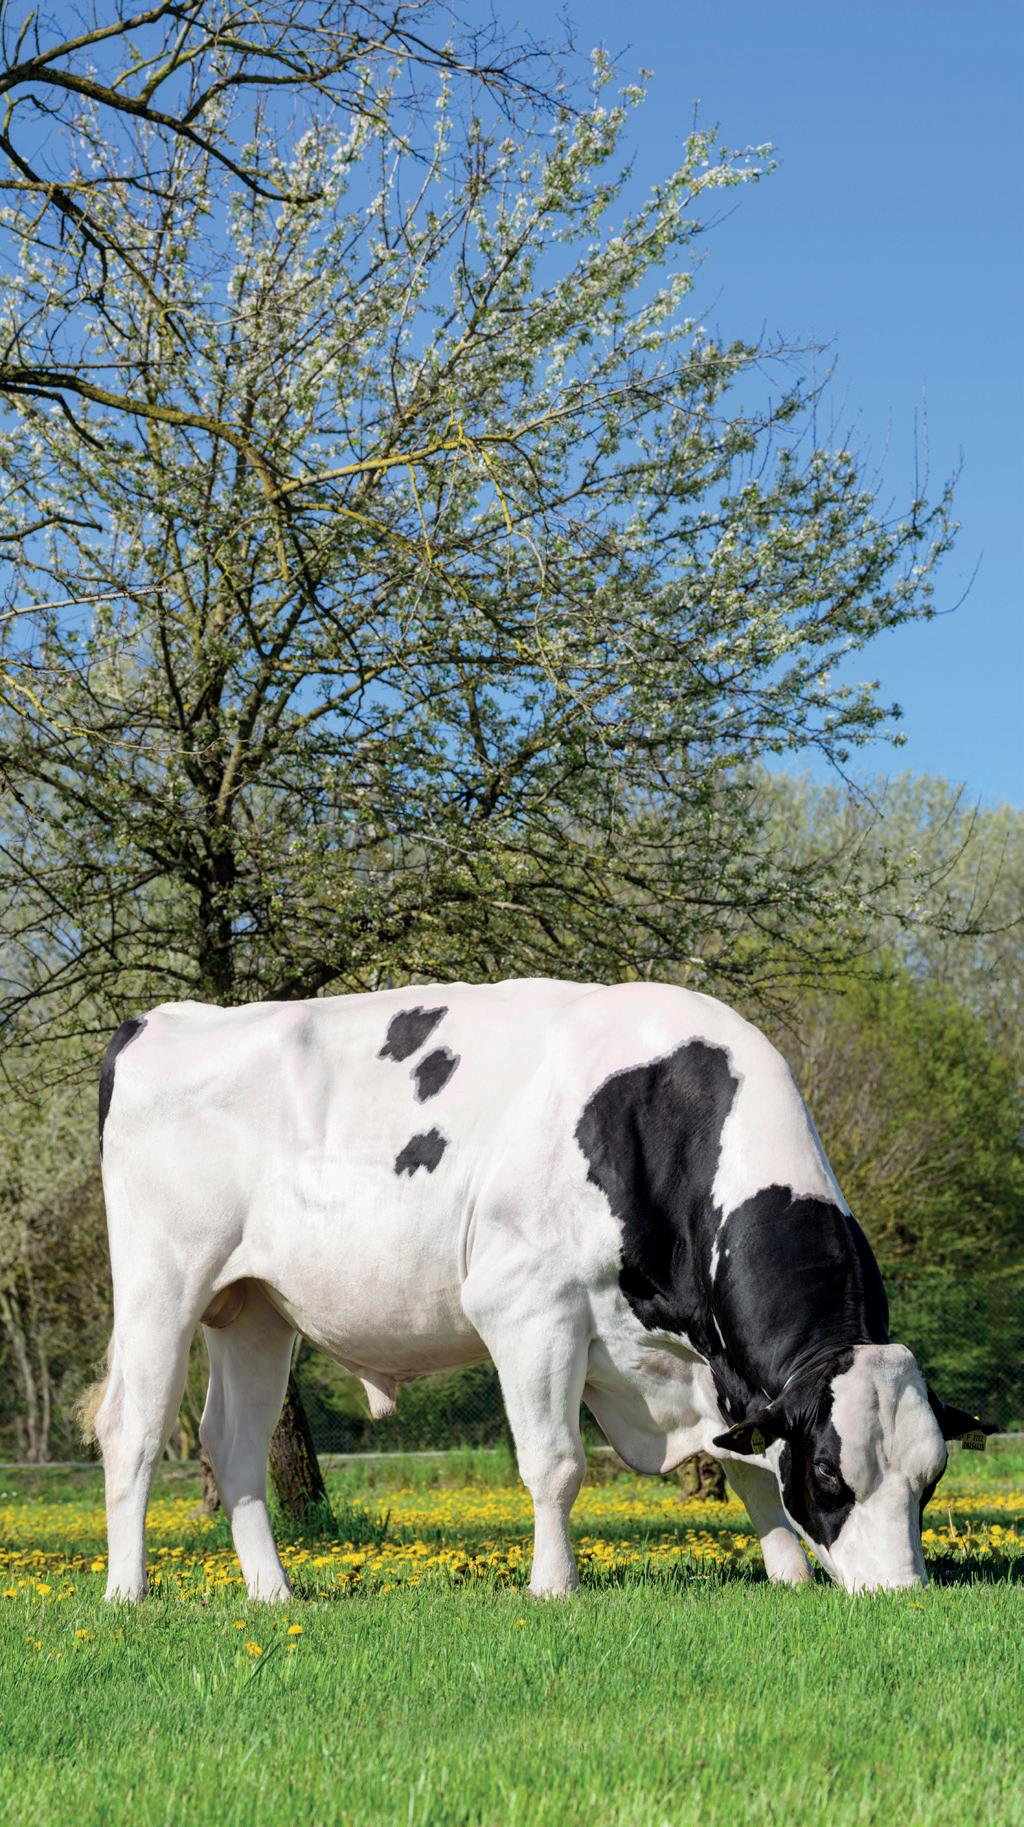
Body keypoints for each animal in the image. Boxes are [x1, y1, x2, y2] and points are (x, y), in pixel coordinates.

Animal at [86, 978, 992, 1602]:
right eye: (834, 1476)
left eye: (932, 1478)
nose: (901, 1591)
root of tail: (158, 1020)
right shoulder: (529, 1307)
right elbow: (556, 1464)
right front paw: (554, 1585)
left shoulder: (715, 1368)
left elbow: (747, 1461)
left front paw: (787, 1572)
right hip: (161, 1283)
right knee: (133, 1427)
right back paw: (128, 1592)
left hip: (254, 1308)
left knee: (234, 1443)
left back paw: (273, 1593)